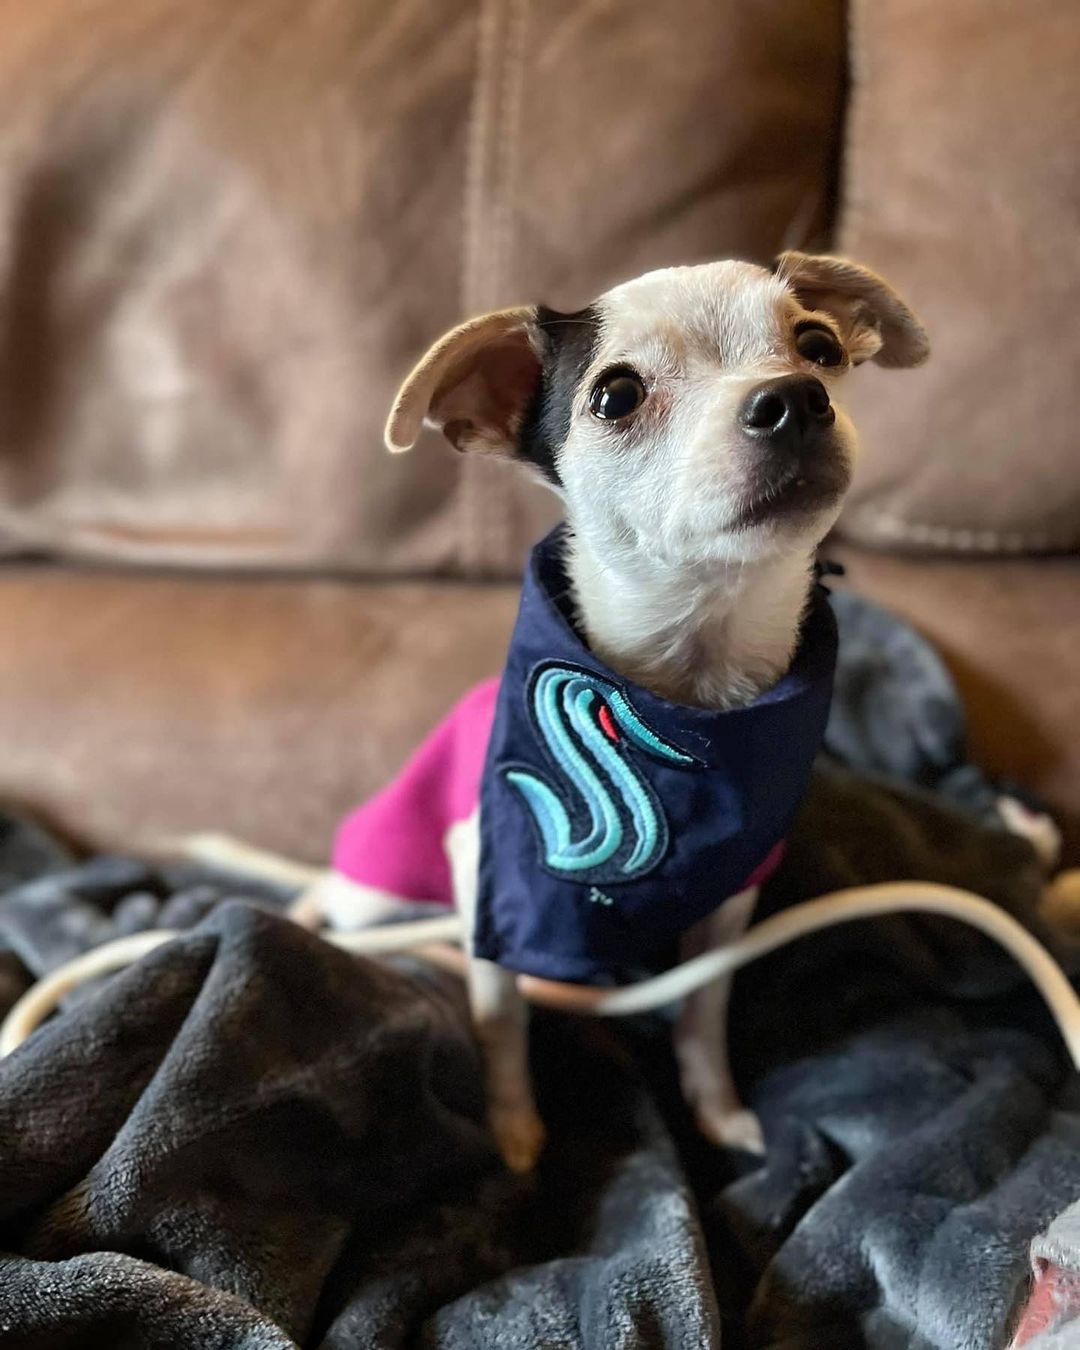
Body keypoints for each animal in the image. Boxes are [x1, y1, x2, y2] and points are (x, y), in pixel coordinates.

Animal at [292, 253, 928, 1171]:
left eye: (819, 346)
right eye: (616, 396)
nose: (794, 397)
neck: (685, 690)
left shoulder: (729, 905)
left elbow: (702, 1016)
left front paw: (717, 1110)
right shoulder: (491, 882)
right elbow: (501, 1021)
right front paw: (515, 1130)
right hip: (383, 885)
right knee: (334, 900)